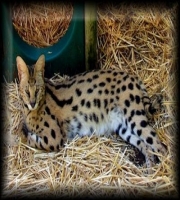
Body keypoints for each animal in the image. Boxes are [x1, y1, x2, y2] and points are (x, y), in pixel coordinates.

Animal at [16, 54, 167, 170]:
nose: (32, 102)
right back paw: (149, 169)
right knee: (145, 145)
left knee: (159, 145)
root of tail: (132, 76)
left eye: (37, 90)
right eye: (26, 91)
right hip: (123, 127)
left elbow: (28, 139)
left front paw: (21, 132)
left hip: (133, 116)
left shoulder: (55, 138)